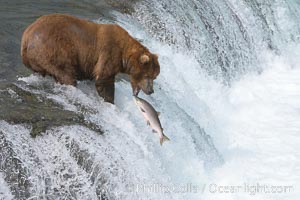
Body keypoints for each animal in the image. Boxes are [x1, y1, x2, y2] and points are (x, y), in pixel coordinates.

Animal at [20, 13, 162, 103]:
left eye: (155, 76)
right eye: (148, 75)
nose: (151, 90)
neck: (124, 54)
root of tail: (26, 37)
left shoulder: (91, 62)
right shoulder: (109, 52)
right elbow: (104, 80)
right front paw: (110, 100)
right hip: (54, 50)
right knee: (66, 74)